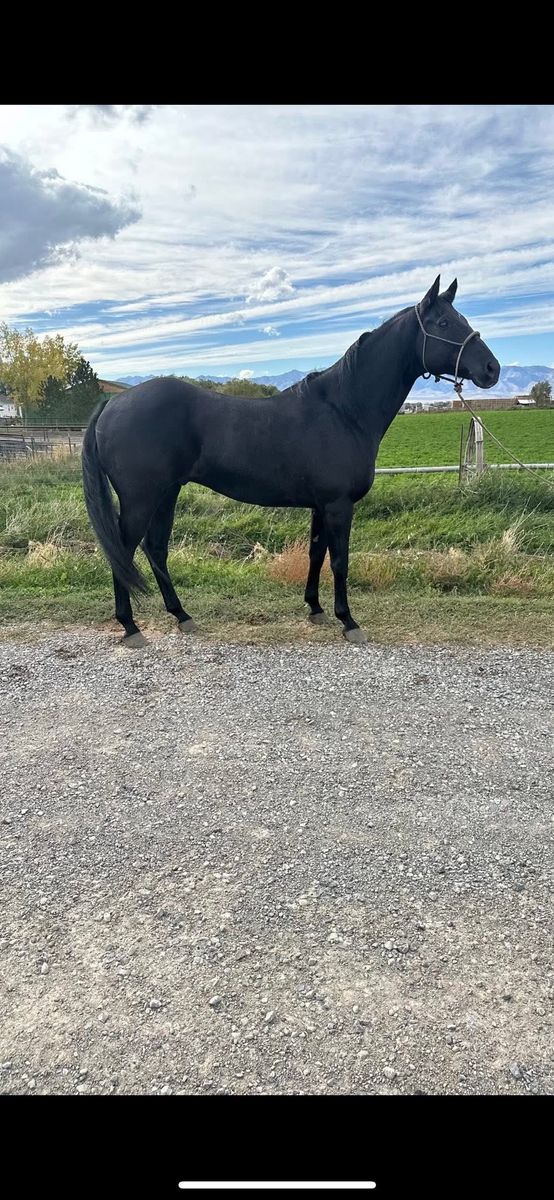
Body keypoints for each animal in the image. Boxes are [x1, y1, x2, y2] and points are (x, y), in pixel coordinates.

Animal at [81, 275, 500, 646]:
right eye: (444, 323)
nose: (492, 369)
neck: (343, 409)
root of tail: (113, 403)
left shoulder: (321, 505)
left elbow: (317, 553)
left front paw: (315, 609)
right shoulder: (338, 505)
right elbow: (340, 560)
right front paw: (348, 621)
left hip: (167, 493)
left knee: (155, 549)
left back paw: (182, 616)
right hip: (141, 499)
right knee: (123, 551)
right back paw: (131, 627)